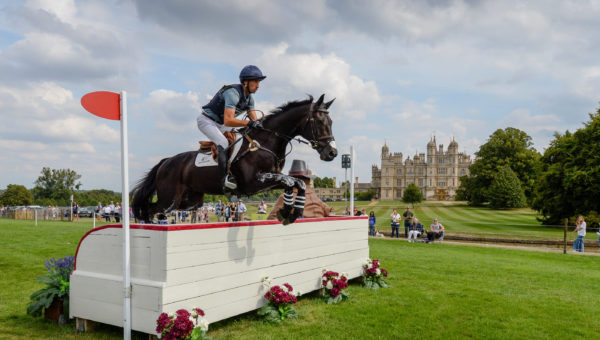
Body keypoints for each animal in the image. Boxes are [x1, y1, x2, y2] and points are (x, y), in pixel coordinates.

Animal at [132, 94, 338, 224]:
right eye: (320, 122)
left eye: (331, 122)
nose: (332, 153)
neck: (267, 141)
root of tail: (166, 162)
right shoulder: (254, 182)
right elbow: (290, 181)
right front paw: (288, 212)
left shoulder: (270, 180)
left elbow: (296, 183)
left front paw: (289, 213)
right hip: (170, 199)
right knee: (151, 209)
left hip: (190, 201)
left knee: (156, 208)